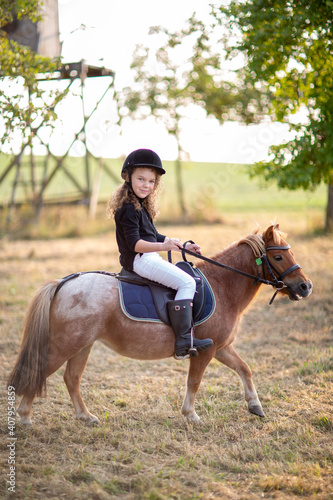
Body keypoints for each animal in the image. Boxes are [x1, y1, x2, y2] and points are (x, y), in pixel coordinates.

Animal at [9, 225, 312, 424]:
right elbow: (194, 381)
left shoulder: (221, 347)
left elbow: (245, 369)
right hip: (66, 345)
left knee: (72, 378)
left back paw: (86, 417)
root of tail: (64, 283)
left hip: (82, 346)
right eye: (278, 257)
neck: (222, 285)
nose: (305, 286)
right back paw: (24, 418)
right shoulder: (205, 351)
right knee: (39, 371)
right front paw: (191, 415)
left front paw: (255, 406)